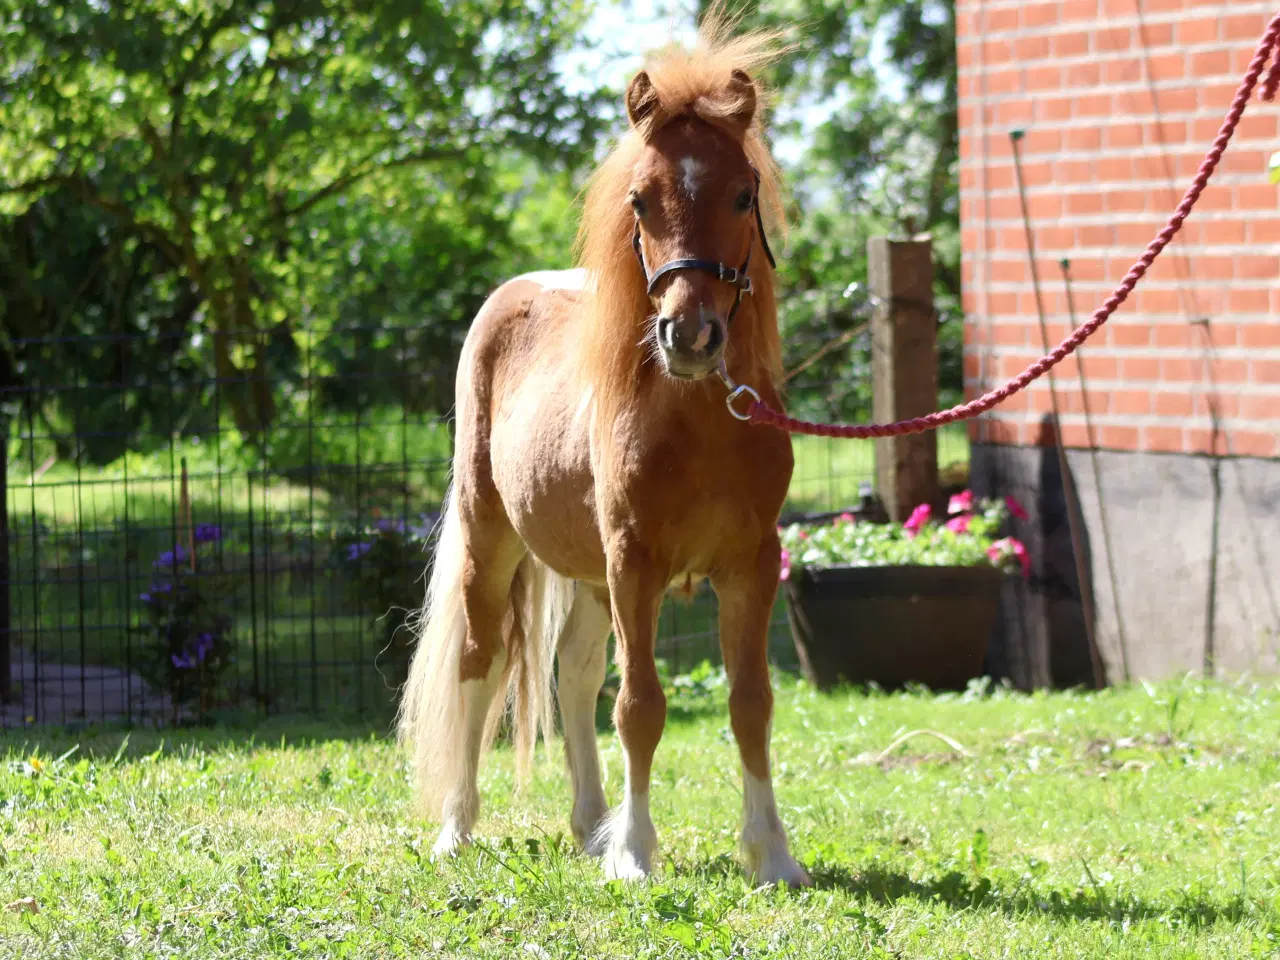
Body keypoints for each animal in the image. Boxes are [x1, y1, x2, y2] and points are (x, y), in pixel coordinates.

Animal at [396, 16, 808, 885]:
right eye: (640, 199)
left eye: (743, 193)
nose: (690, 336)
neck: (700, 420)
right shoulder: (634, 561)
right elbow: (641, 706)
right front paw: (637, 856)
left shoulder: (751, 563)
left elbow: (750, 703)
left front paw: (771, 854)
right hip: (494, 542)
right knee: (481, 662)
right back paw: (458, 829)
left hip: (585, 574)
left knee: (574, 672)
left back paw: (590, 823)